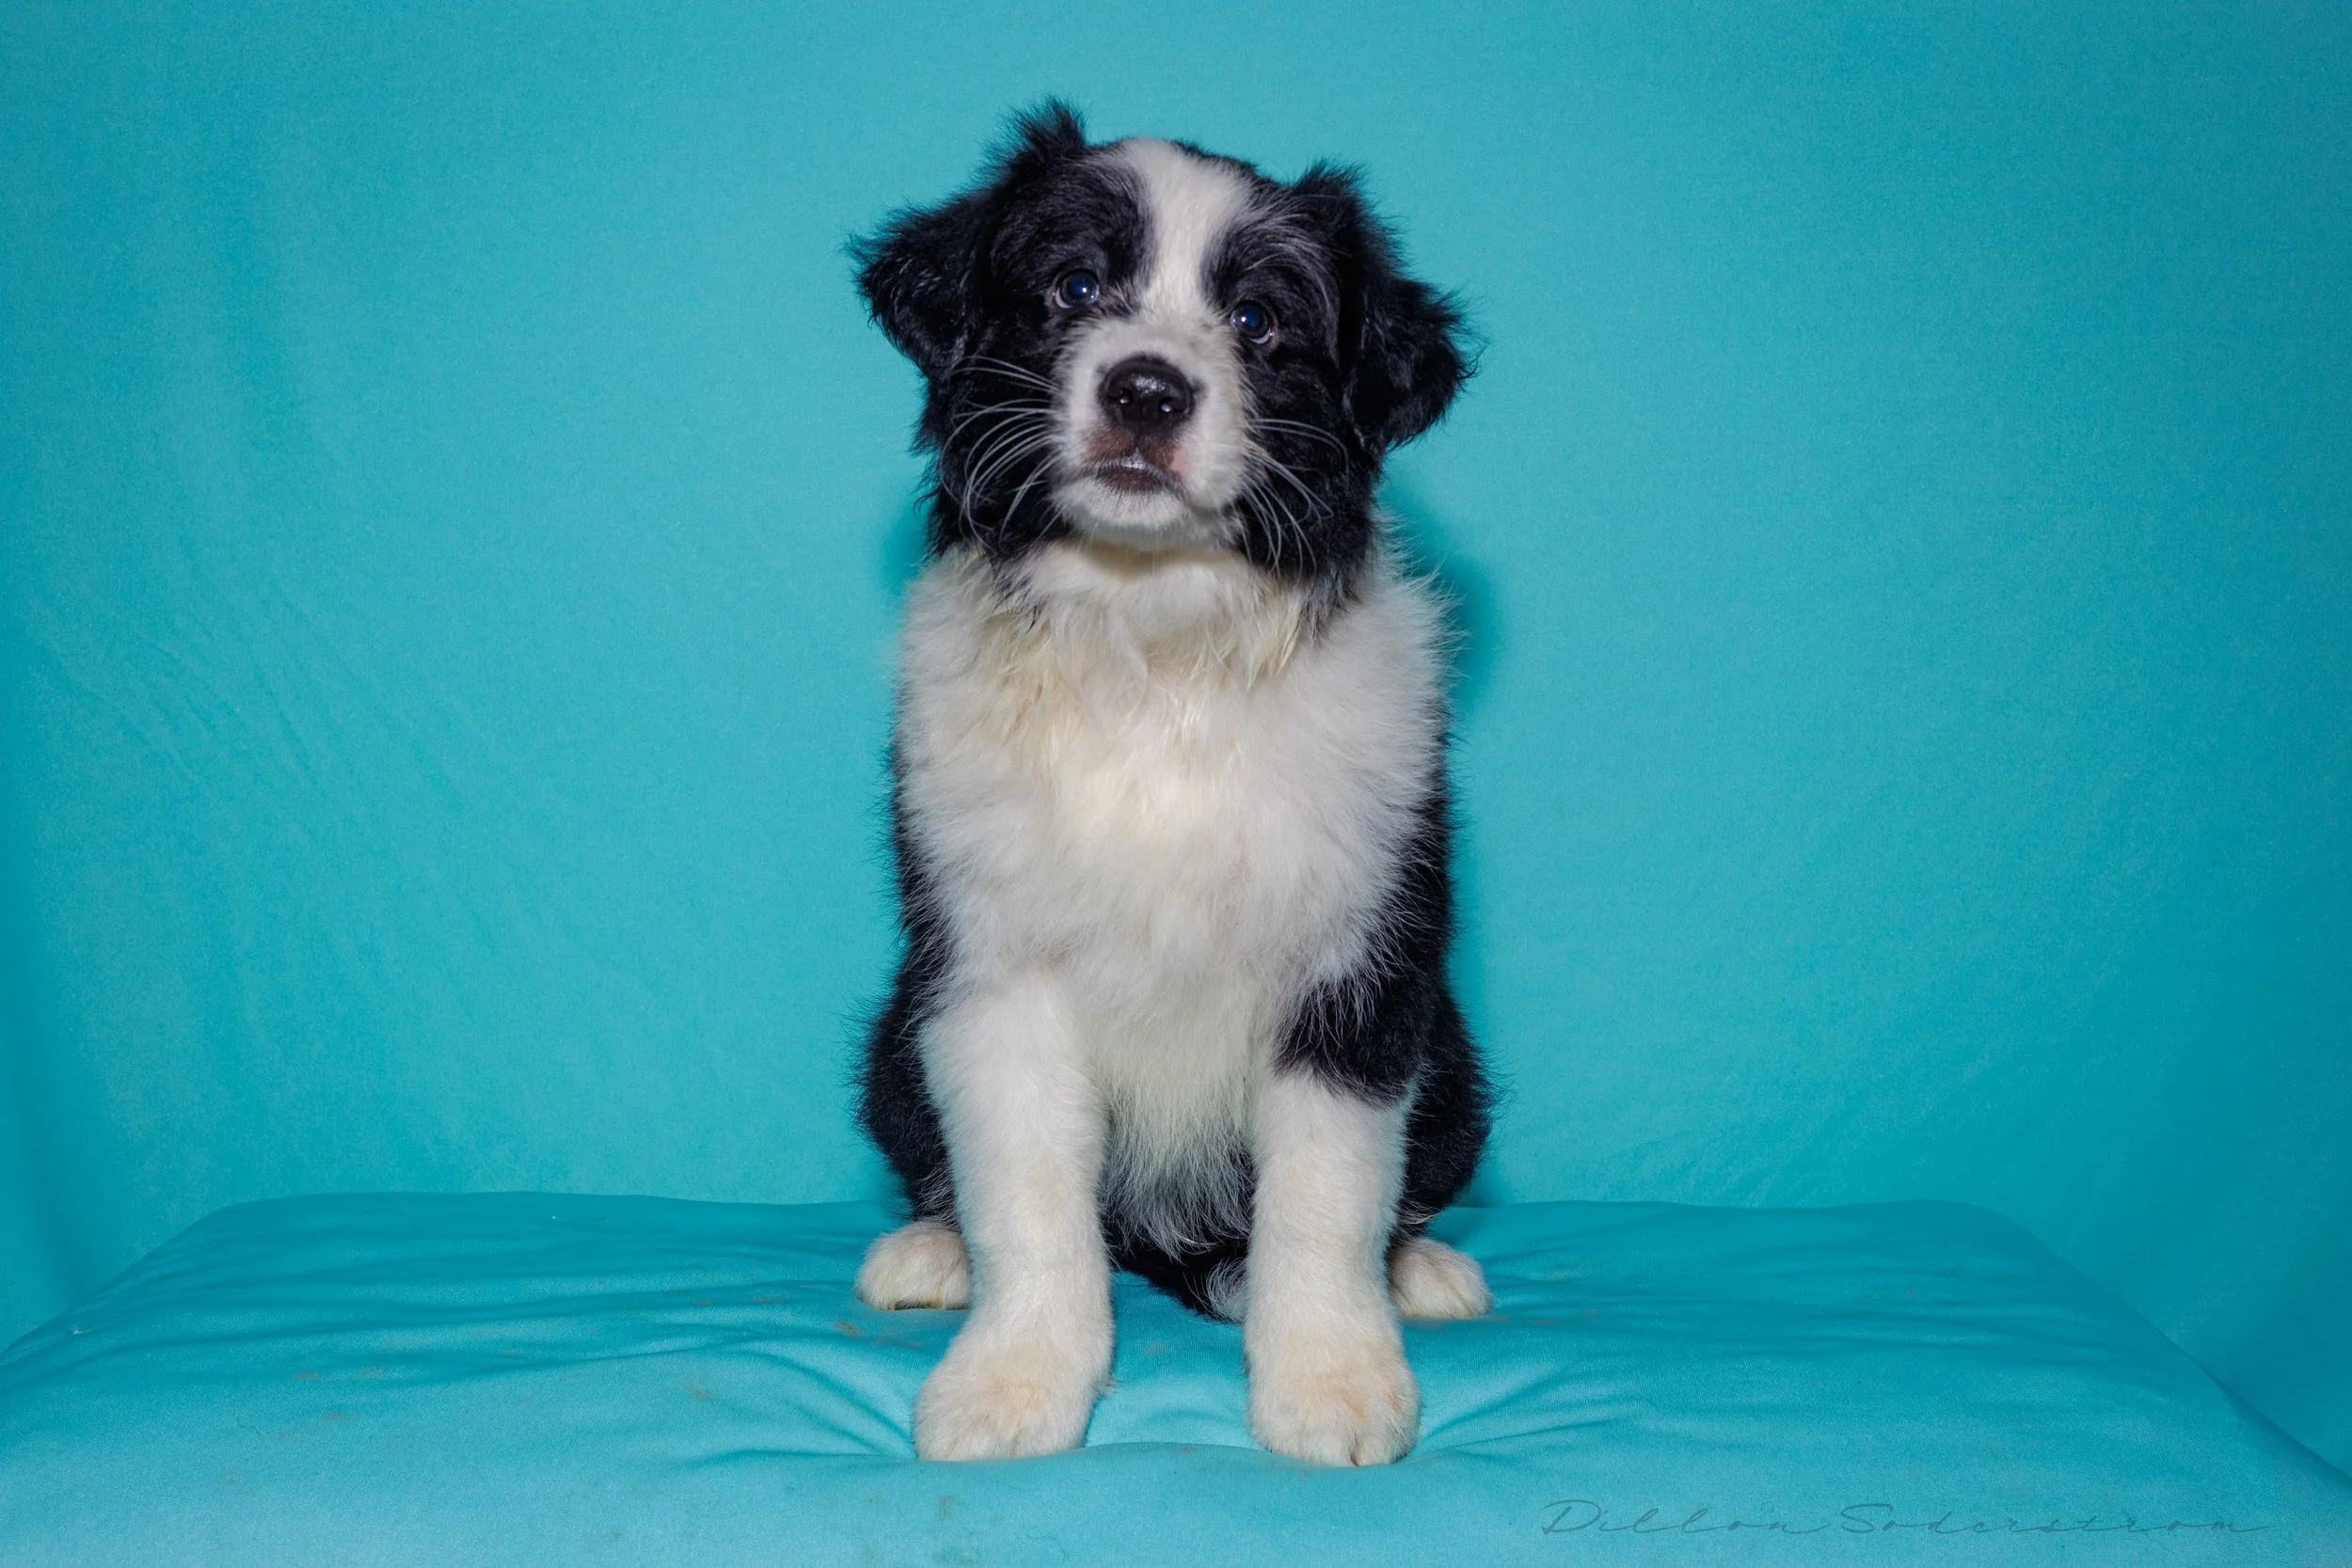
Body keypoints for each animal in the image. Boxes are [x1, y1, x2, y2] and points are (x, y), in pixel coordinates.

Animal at [849, 103, 1493, 1467]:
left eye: (1257, 319)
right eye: (1074, 287)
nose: (1146, 389)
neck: (1154, 635)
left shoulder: (1358, 966)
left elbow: (1325, 1194)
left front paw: (1332, 1376)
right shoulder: (991, 965)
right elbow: (1028, 1196)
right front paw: (1013, 1379)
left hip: (1455, 1063)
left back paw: (1418, 1269)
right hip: (891, 1042)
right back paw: (930, 1247)